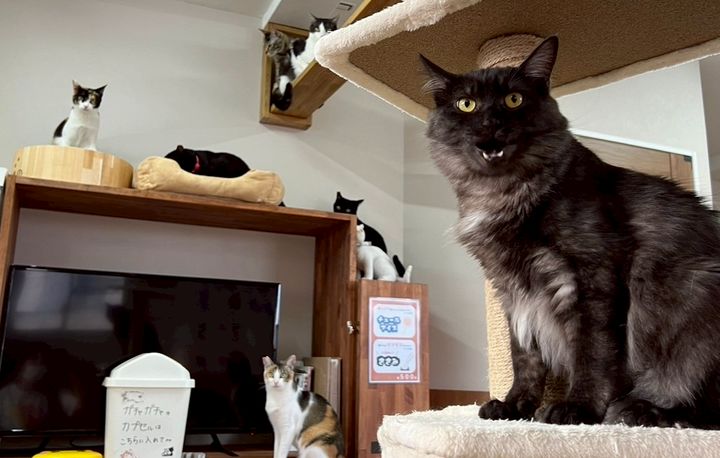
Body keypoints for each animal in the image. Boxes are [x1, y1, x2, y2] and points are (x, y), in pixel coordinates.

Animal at [420, 36, 720, 429]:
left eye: (513, 99)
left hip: (697, 289)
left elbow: (592, 351)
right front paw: (514, 407)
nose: (491, 123)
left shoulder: (594, 275)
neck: (503, 194)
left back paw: (641, 410)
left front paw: (578, 408)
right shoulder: (511, 289)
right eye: (466, 104)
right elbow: (524, 356)